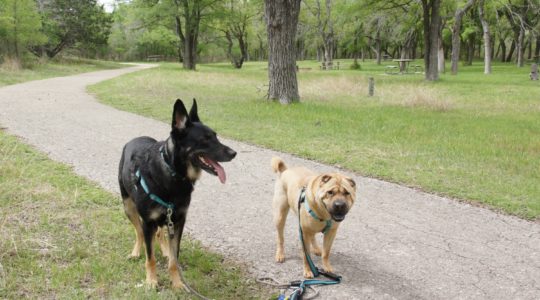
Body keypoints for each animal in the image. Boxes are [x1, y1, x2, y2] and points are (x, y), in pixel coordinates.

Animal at [118, 99, 236, 288]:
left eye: (215, 136)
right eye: (205, 139)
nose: (234, 153)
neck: (173, 174)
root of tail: (136, 139)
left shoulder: (178, 221)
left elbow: (174, 260)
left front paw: (177, 283)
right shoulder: (148, 222)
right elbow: (150, 257)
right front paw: (151, 280)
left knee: (159, 234)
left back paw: (165, 249)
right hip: (129, 207)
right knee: (139, 232)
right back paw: (136, 251)